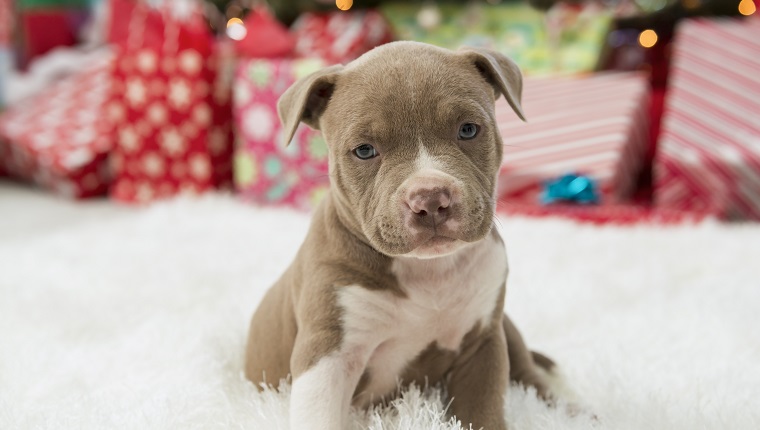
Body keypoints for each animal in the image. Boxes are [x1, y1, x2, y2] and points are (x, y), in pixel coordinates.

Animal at [246, 41, 560, 430]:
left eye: (468, 130)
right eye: (364, 150)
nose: (430, 199)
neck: (428, 270)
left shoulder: (483, 344)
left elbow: (483, 412)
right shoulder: (328, 354)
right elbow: (320, 414)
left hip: (507, 330)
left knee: (532, 377)